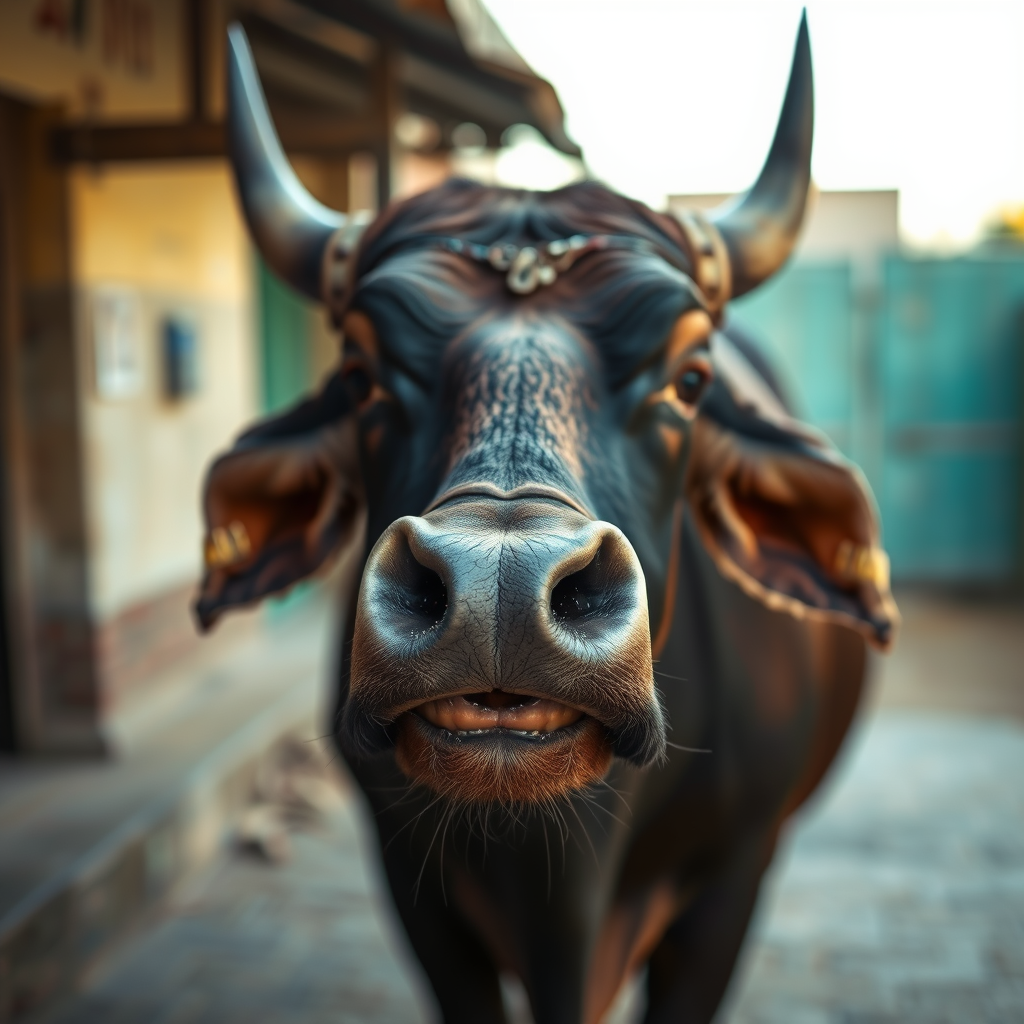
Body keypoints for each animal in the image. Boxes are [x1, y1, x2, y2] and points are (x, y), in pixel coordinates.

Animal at [196, 16, 899, 1024]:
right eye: (362, 374)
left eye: (690, 378)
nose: (499, 591)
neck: (563, 881)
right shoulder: (417, 898)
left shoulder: (734, 882)